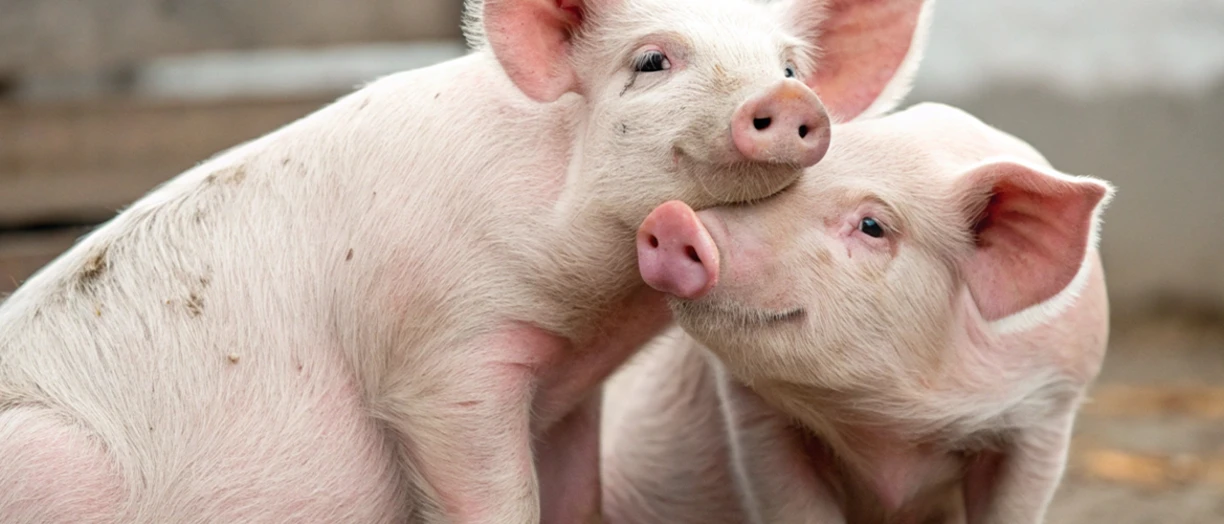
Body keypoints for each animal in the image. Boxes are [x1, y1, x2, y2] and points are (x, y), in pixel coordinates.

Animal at [0, 0, 934, 522]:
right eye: (652, 61)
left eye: (790, 64)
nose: (787, 97)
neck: (597, 313)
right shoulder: (439, 358)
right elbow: (495, 495)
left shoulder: (568, 393)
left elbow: (575, 501)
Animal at [604, 102, 1115, 524]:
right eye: (774, 185)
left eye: (872, 226)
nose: (675, 220)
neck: (890, 431)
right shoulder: (757, 420)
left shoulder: (1047, 409)